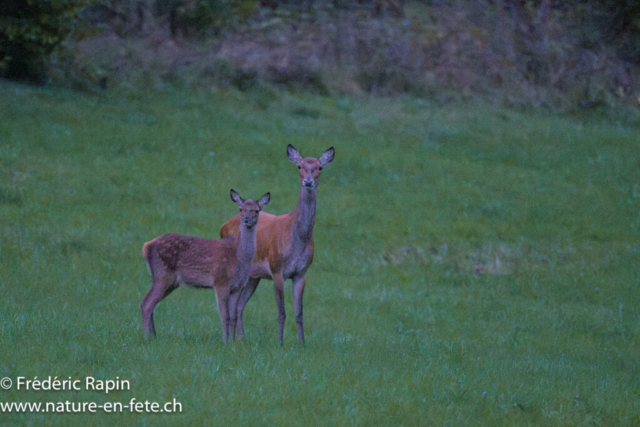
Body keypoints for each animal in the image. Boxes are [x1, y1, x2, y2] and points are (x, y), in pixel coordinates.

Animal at [141, 190, 270, 344]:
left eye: (256, 210)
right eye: (241, 209)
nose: (246, 220)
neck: (238, 258)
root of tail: (146, 247)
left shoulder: (238, 287)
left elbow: (233, 316)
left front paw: (232, 342)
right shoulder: (220, 282)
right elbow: (224, 316)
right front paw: (225, 342)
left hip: (171, 282)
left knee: (151, 304)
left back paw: (153, 336)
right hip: (162, 275)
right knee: (146, 304)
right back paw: (147, 338)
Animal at [220, 145, 334, 344]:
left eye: (320, 167)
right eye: (299, 166)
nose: (308, 181)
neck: (297, 240)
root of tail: (223, 226)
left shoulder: (301, 273)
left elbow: (299, 313)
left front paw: (302, 343)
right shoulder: (277, 269)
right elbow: (281, 312)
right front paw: (280, 342)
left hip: (253, 277)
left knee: (239, 305)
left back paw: (241, 339)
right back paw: (232, 339)